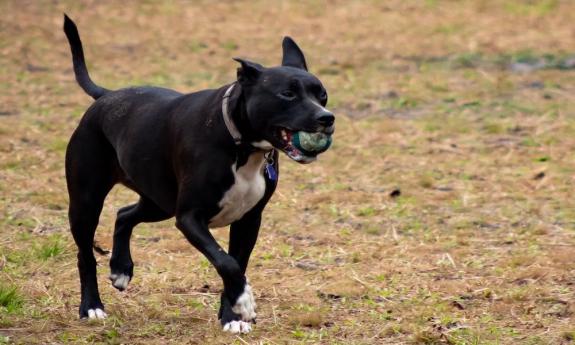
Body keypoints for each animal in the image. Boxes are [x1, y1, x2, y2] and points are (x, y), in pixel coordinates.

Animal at [62, 14, 332, 332]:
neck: (242, 147)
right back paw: (91, 306)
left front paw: (232, 316)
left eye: (322, 95)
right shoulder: (190, 217)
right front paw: (243, 303)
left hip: (159, 202)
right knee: (85, 254)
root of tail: (107, 96)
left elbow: (236, 263)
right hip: (86, 203)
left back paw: (120, 268)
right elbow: (227, 263)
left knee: (124, 214)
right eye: (287, 94)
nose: (327, 118)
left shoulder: (248, 221)